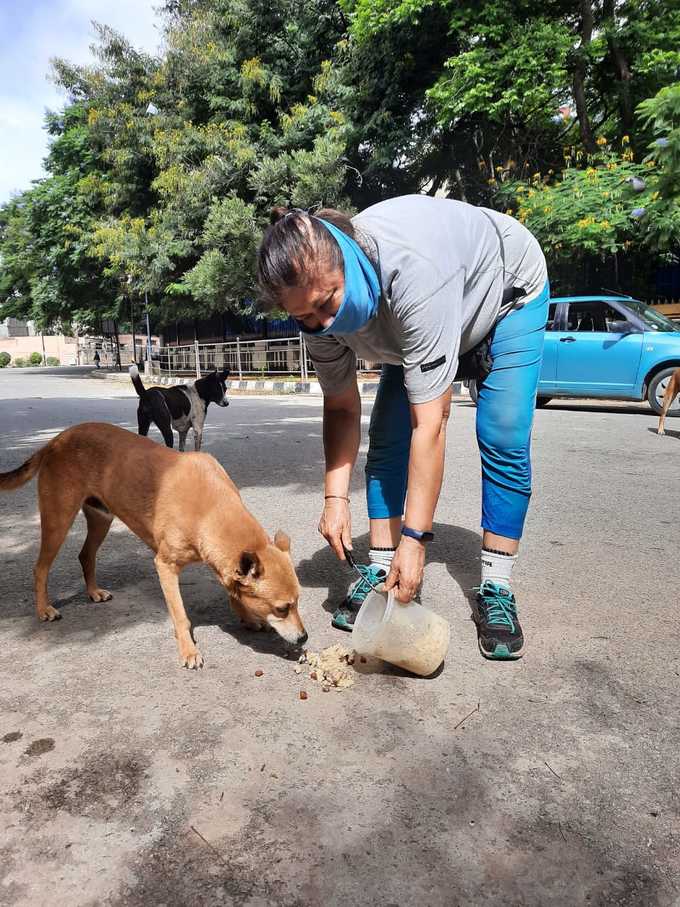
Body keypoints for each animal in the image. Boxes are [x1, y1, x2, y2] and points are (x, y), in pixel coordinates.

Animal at [1, 424, 306, 668]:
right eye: (282, 608)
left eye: (298, 602)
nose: (304, 637)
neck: (211, 508)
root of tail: (56, 440)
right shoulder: (165, 566)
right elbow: (181, 616)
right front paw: (188, 651)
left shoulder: (221, 561)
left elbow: (232, 590)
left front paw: (247, 617)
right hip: (58, 520)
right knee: (40, 567)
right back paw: (44, 609)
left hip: (101, 518)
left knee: (85, 555)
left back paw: (93, 592)